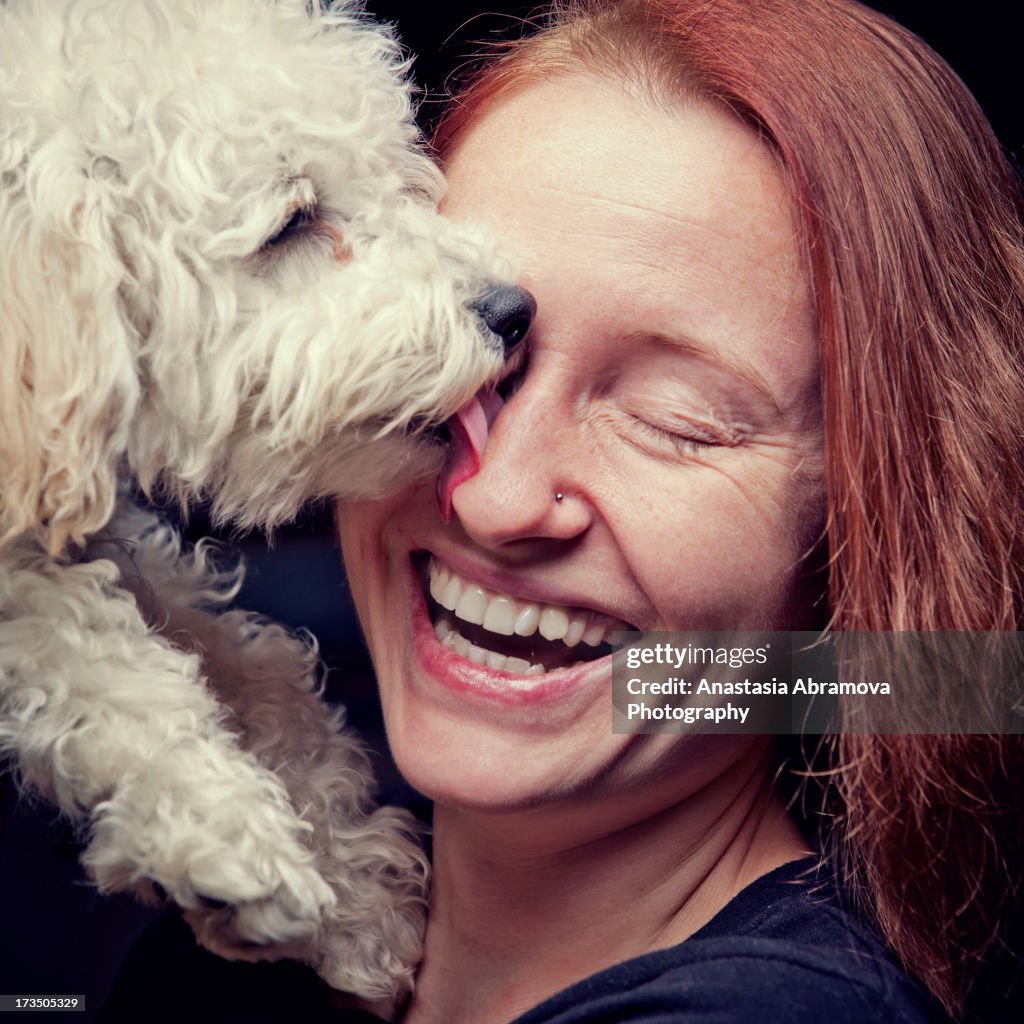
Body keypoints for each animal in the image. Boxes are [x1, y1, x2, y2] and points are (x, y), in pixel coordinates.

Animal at [2, 0, 536, 1003]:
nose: (515, 310)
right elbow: (88, 651)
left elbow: (255, 661)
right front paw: (217, 832)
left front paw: (353, 877)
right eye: (292, 221)